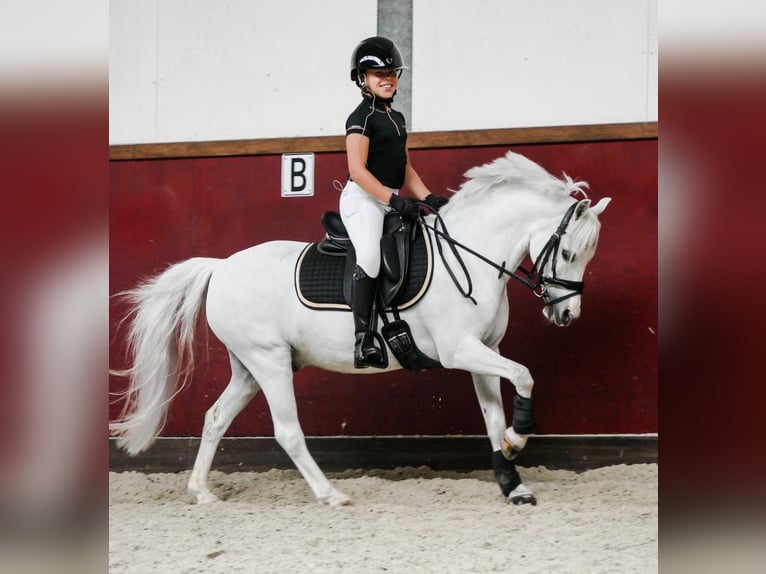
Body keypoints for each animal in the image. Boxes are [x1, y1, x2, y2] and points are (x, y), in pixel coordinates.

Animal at [109, 151, 611, 506]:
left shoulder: (485, 349)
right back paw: (330, 494)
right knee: (287, 431)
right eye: (569, 253)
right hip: (269, 362)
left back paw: (202, 492)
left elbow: (492, 416)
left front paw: (512, 478)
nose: (566, 315)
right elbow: (525, 375)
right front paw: (519, 436)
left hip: (250, 367)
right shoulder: (460, 349)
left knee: (215, 418)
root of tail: (221, 267)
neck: (470, 254)